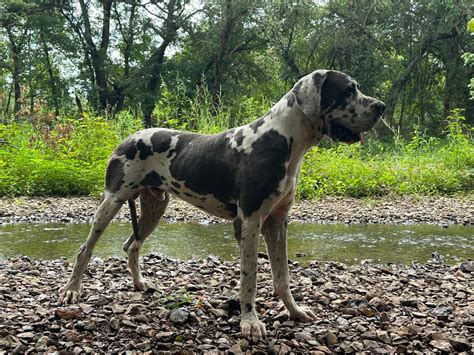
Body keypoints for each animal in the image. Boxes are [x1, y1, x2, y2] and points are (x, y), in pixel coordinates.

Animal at [59, 69, 386, 342]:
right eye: (348, 90)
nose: (381, 107)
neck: (283, 139)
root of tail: (129, 136)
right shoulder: (250, 222)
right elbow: (250, 278)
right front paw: (250, 322)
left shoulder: (277, 223)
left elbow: (282, 277)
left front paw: (294, 312)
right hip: (111, 201)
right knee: (85, 249)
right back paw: (71, 291)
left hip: (155, 206)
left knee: (132, 245)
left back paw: (140, 284)